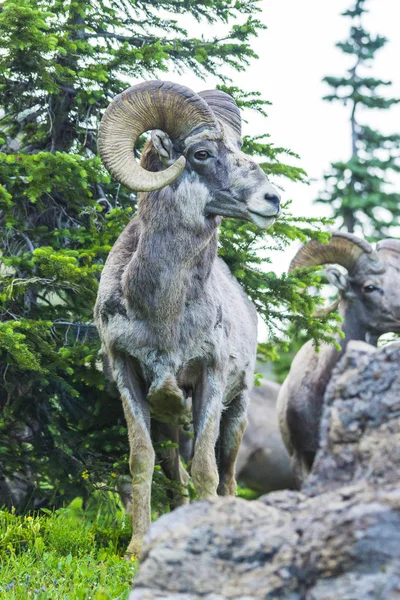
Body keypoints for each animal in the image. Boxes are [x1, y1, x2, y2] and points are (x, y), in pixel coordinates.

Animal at [94, 81, 282, 556]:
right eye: (201, 153)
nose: (273, 200)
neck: (164, 315)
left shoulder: (210, 381)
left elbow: (206, 472)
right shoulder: (129, 378)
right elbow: (141, 461)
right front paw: (137, 547)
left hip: (236, 417)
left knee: (227, 478)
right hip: (170, 426)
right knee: (174, 479)